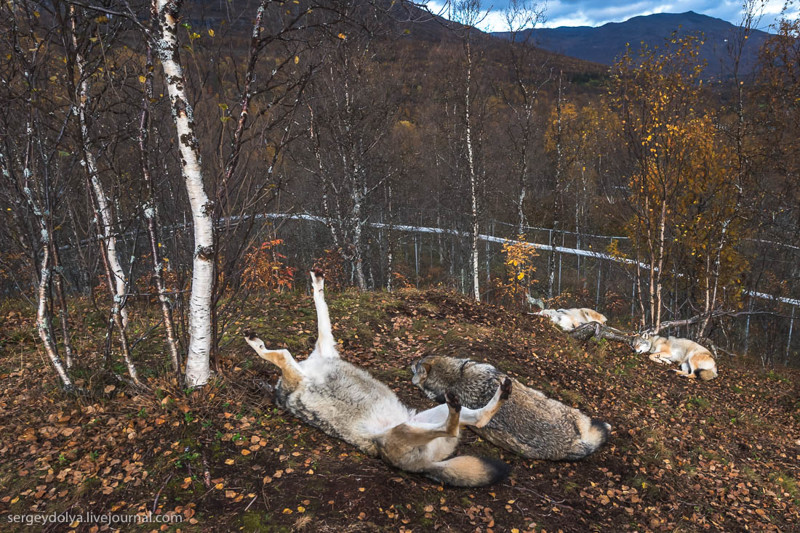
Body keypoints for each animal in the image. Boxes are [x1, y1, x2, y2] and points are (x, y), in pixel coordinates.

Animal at [242, 270, 512, 486]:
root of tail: (425, 467)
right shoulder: (300, 369)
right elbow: (280, 353)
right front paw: (255, 341)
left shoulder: (322, 349)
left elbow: (317, 315)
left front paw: (316, 284)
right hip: (412, 425)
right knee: (462, 423)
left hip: (424, 419)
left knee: (470, 420)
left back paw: (502, 391)